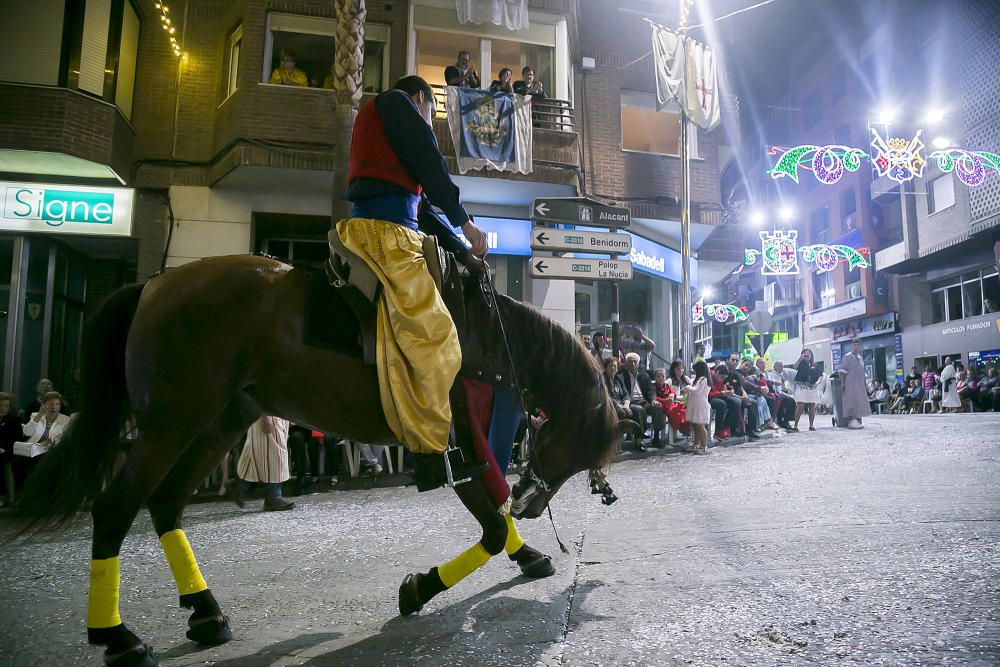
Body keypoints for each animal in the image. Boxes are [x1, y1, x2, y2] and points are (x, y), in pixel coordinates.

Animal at [15, 256, 620, 667]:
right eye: (569, 444)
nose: (535, 502)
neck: (488, 339)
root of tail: (155, 285)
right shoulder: (459, 444)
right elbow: (492, 525)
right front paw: (420, 587)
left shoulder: (471, 445)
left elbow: (497, 515)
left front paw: (528, 553)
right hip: (172, 423)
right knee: (116, 508)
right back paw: (118, 637)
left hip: (218, 421)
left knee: (165, 502)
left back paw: (204, 611)